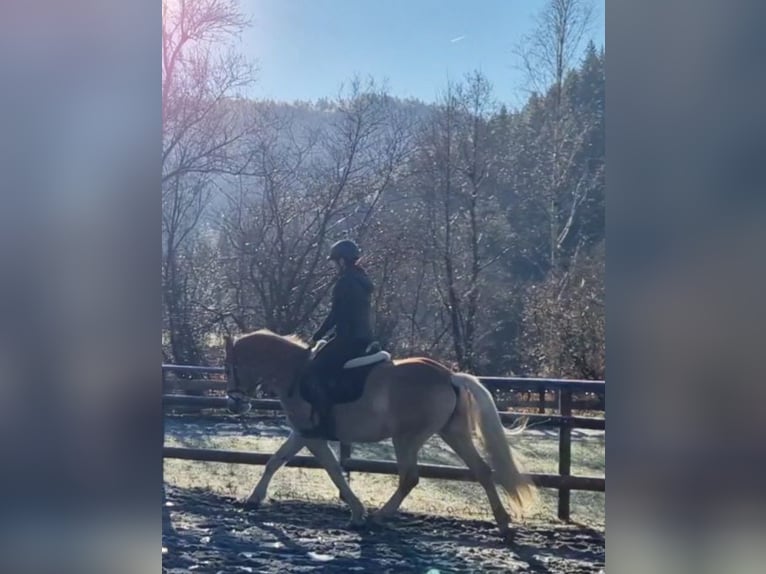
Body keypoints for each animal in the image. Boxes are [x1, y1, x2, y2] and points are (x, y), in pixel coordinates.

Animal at [222, 328, 536, 540]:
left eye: (231, 366)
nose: (235, 404)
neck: (295, 373)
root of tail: (449, 375)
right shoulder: (302, 433)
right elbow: (275, 461)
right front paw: (253, 498)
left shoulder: (312, 436)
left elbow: (333, 470)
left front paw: (358, 513)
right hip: (453, 433)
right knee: (482, 470)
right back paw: (504, 523)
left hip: (406, 438)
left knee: (409, 478)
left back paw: (378, 517)